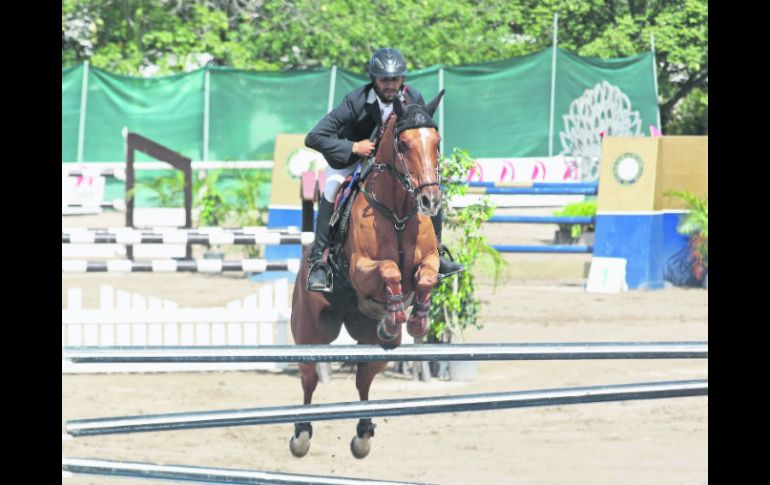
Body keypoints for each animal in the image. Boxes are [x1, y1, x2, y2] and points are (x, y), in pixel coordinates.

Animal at [288, 90, 444, 458]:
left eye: (437, 142)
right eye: (403, 144)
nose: (430, 200)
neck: (398, 210)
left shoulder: (428, 261)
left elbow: (426, 277)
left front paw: (415, 320)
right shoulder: (361, 270)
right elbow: (389, 270)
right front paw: (396, 313)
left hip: (370, 341)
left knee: (363, 378)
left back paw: (363, 433)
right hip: (311, 332)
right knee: (309, 378)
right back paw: (301, 434)